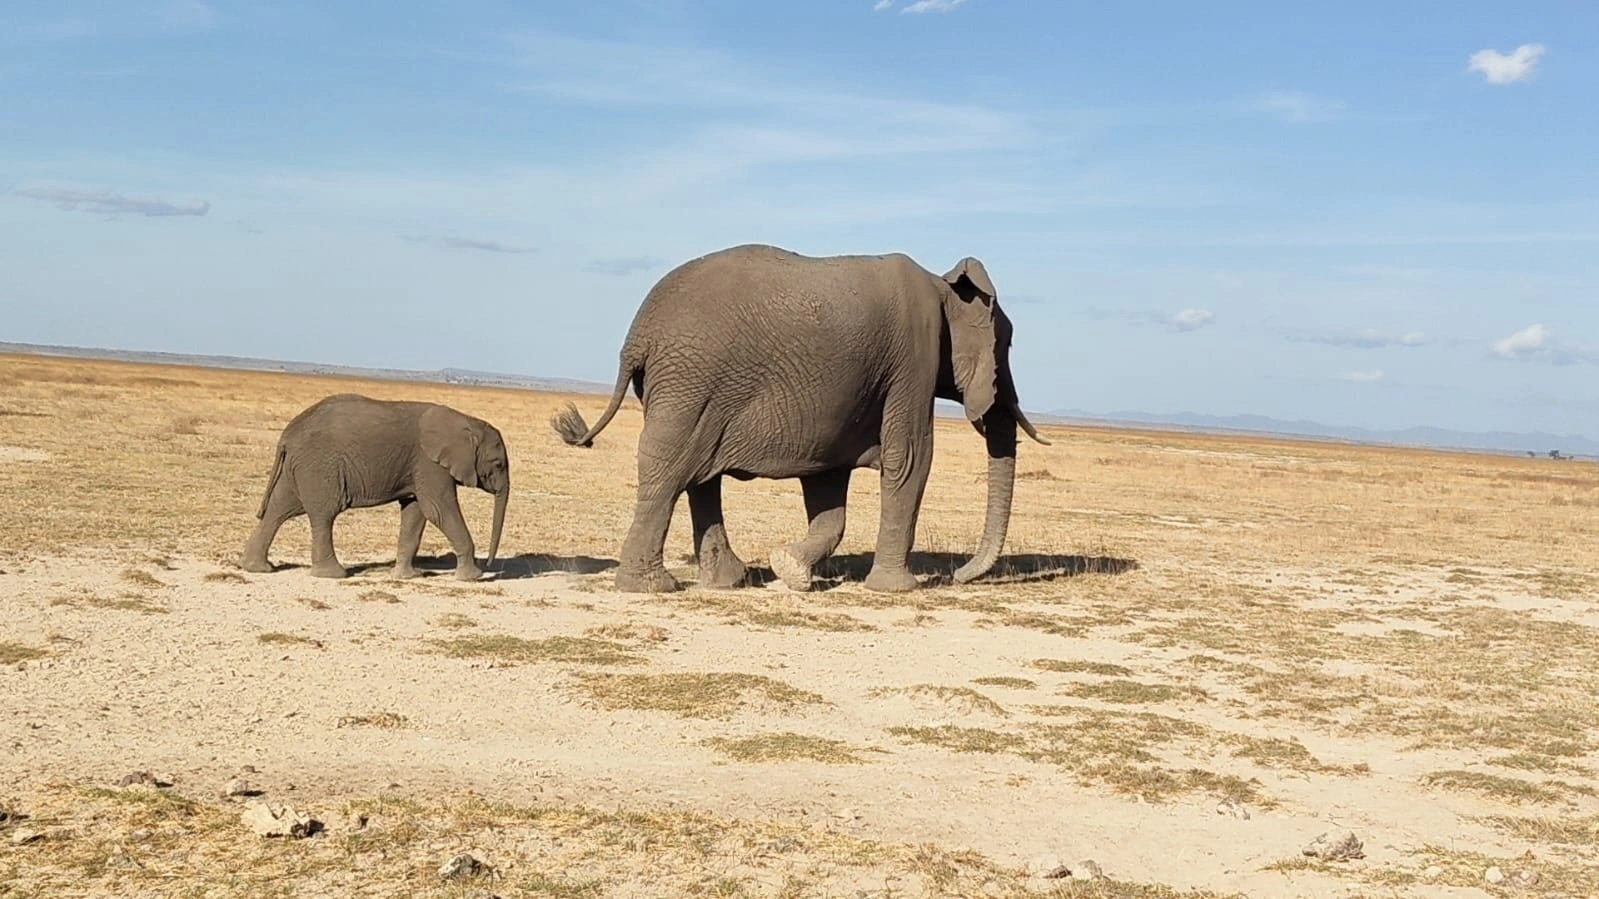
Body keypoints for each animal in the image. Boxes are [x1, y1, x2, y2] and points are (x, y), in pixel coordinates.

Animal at [240, 393, 509, 581]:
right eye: (498, 464)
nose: (490, 565)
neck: (466, 421)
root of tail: (287, 434)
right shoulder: (429, 464)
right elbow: (438, 510)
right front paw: (472, 578)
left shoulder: (417, 467)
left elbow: (416, 513)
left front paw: (408, 577)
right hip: (319, 465)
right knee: (323, 515)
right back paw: (334, 575)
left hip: (299, 467)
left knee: (279, 509)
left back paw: (258, 568)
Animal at [552, 243, 1048, 594]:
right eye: (1007, 345)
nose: (959, 576)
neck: (944, 285)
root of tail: (637, 336)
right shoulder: (914, 358)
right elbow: (910, 461)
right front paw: (896, 589)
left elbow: (827, 485)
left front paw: (789, 570)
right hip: (691, 381)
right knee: (669, 471)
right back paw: (652, 587)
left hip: (690, 388)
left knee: (697, 477)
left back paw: (729, 582)